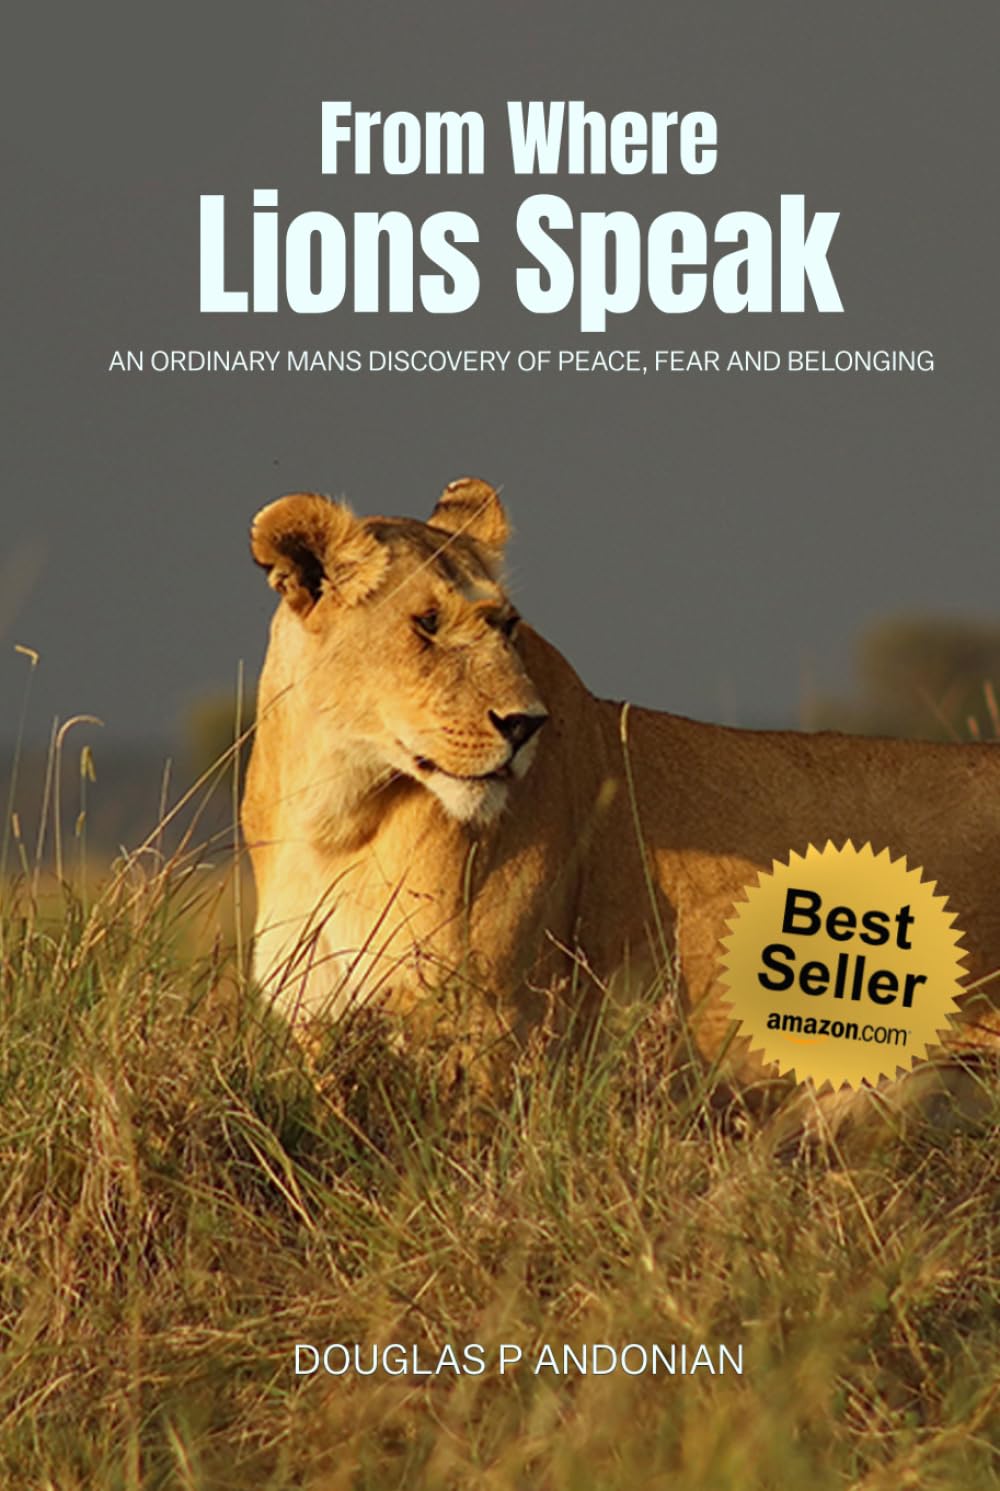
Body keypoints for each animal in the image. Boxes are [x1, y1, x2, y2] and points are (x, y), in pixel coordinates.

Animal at [242, 476, 1000, 1110]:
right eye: (425, 624)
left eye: (506, 625)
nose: (525, 724)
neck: (335, 812)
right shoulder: (317, 1015)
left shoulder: (494, 1020)